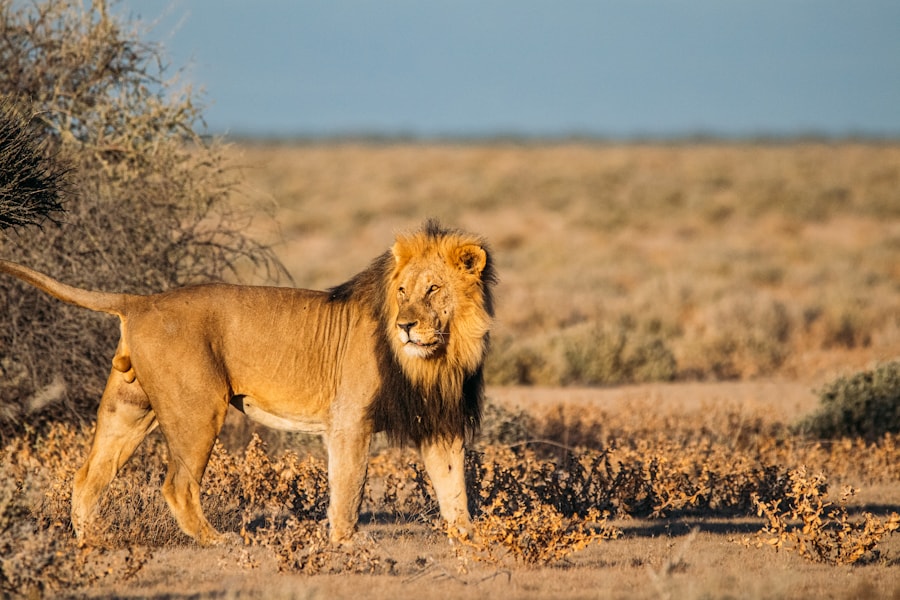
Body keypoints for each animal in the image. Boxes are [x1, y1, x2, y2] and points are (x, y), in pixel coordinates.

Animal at [0, 219, 496, 545]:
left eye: (433, 289)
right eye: (402, 292)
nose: (405, 326)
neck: (436, 358)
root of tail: (140, 300)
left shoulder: (439, 423)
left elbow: (454, 490)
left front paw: (474, 542)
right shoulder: (350, 420)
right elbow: (349, 488)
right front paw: (345, 545)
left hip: (130, 408)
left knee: (88, 476)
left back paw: (92, 542)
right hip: (198, 409)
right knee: (177, 485)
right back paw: (217, 541)